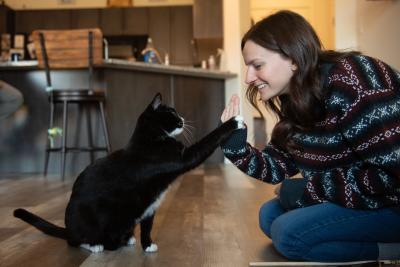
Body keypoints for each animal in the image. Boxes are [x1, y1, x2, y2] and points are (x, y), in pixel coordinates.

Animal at [14, 93, 244, 254]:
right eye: (172, 113)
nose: (183, 119)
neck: (151, 139)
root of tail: (68, 228)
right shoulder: (185, 157)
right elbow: (208, 140)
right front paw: (233, 121)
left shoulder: (150, 205)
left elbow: (147, 226)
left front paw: (147, 245)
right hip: (87, 224)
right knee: (76, 241)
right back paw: (94, 245)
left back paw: (127, 239)